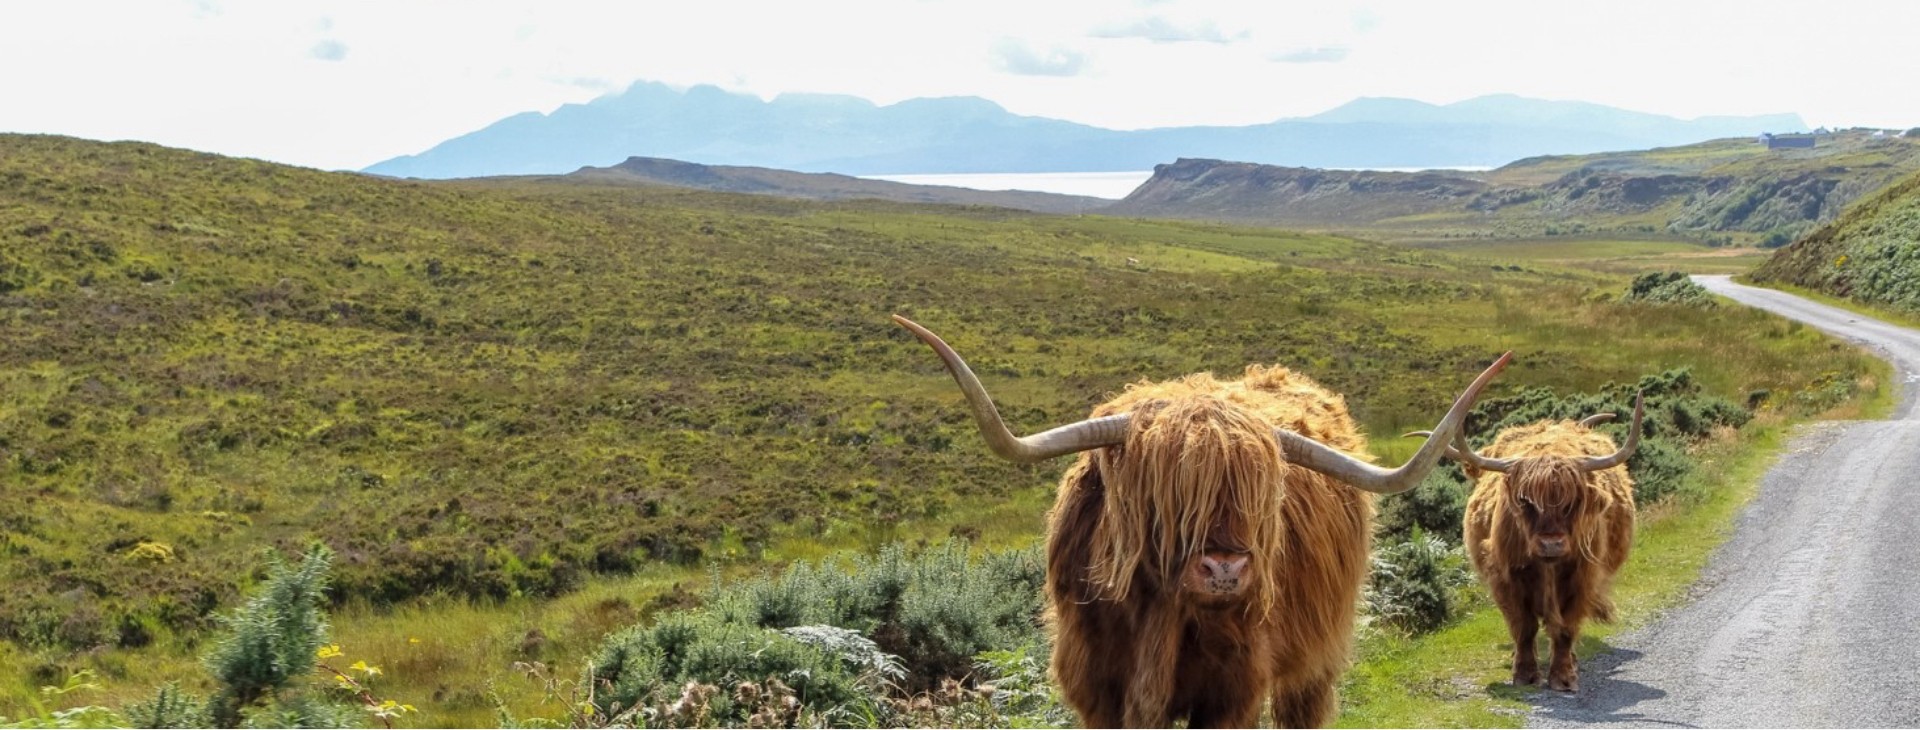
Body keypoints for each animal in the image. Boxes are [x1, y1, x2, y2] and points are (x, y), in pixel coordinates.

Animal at [890, 315, 1505, 730]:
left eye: (1262, 497)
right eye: (1169, 493)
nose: (1225, 569)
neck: (1157, 614)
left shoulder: (1232, 693)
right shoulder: (1098, 691)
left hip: (1319, 655)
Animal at [1451, 395, 1651, 691]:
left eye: (1573, 501)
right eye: (1525, 500)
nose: (1551, 544)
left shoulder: (1582, 579)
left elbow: (1566, 628)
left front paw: (1564, 677)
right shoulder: (1507, 578)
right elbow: (1524, 627)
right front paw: (1524, 674)